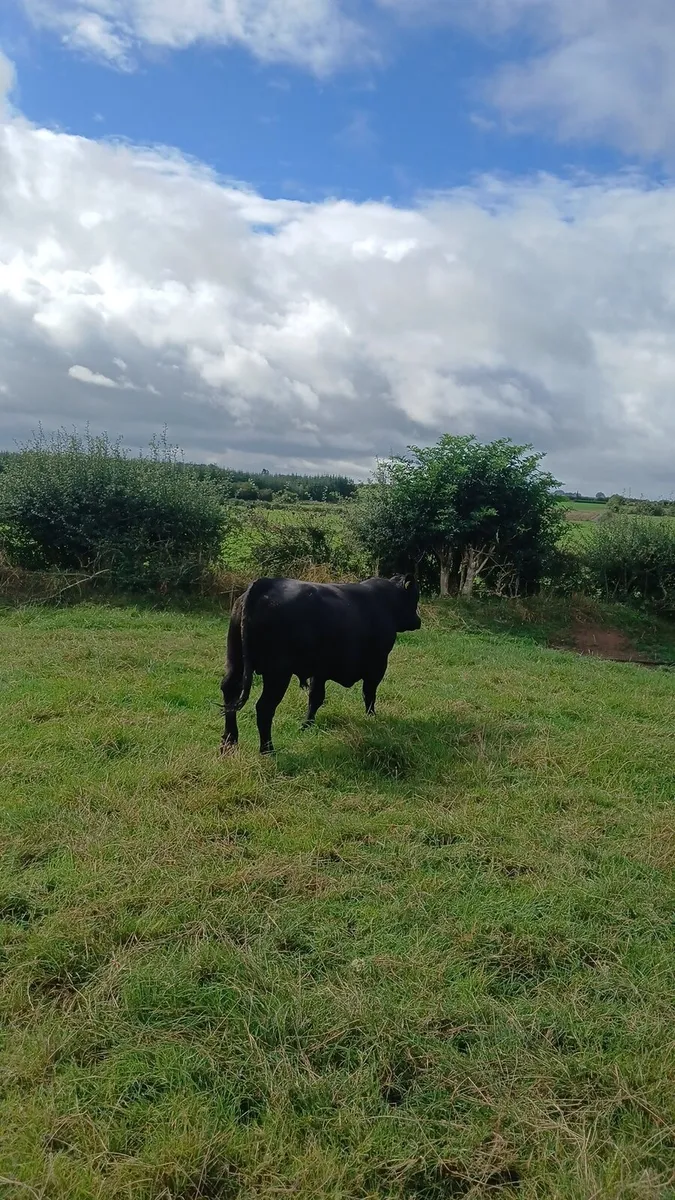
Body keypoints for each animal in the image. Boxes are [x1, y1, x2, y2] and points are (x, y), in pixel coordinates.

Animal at [220, 574, 421, 755]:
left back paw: (229, 743)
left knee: (229, 693)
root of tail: (265, 583)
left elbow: (315, 697)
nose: (418, 621)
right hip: (278, 674)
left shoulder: (320, 670)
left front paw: (306, 726)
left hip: (236, 662)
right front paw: (372, 717)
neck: (386, 602)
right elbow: (369, 693)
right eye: (414, 598)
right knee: (264, 707)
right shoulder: (377, 664)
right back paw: (268, 750)